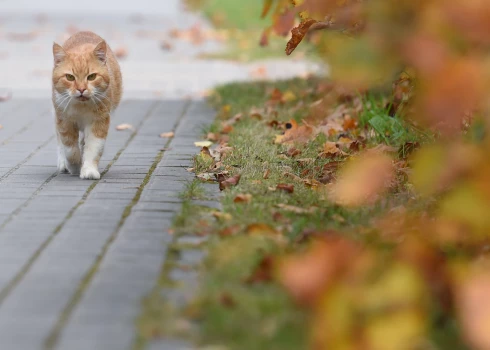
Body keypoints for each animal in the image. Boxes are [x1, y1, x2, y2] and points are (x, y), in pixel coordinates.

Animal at [51, 31, 122, 179]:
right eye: (70, 77)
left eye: (92, 77)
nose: (82, 89)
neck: (81, 107)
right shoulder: (64, 121)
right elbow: (70, 149)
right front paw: (74, 166)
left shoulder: (99, 122)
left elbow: (93, 147)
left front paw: (88, 170)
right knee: (60, 141)